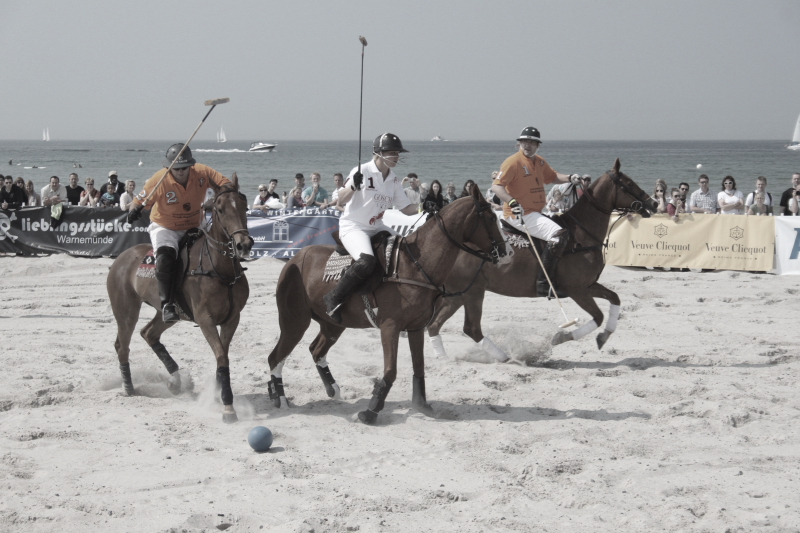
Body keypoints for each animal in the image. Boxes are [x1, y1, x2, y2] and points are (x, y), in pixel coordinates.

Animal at [104, 175, 252, 424]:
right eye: (220, 209)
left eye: (244, 205)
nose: (244, 244)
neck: (220, 269)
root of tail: (121, 257)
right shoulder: (205, 318)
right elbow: (221, 355)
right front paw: (228, 407)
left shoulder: (232, 318)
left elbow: (222, 355)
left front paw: (217, 394)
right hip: (125, 310)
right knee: (122, 345)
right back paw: (128, 387)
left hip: (167, 313)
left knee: (148, 333)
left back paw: (177, 380)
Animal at [268, 186, 506, 424]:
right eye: (491, 218)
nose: (505, 252)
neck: (416, 266)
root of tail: (295, 258)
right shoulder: (389, 326)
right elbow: (391, 370)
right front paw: (371, 410)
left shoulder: (416, 327)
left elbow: (419, 367)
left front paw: (422, 405)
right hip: (294, 321)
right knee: (276, 357)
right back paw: (279, 397)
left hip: (333, 324)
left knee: (316, 350)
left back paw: (332, 389)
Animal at [424, 158, 656, 358]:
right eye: (629, 183)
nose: (653, 204)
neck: (583, 234)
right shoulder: (577, 289)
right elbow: (597, 316)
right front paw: (562, 336)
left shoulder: (588, 285)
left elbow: (615, 298)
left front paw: (604, 336)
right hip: (472, 292)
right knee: (470, 328)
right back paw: (506, 358)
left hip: (458, 293)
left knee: (435, 324)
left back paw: (444, 359)